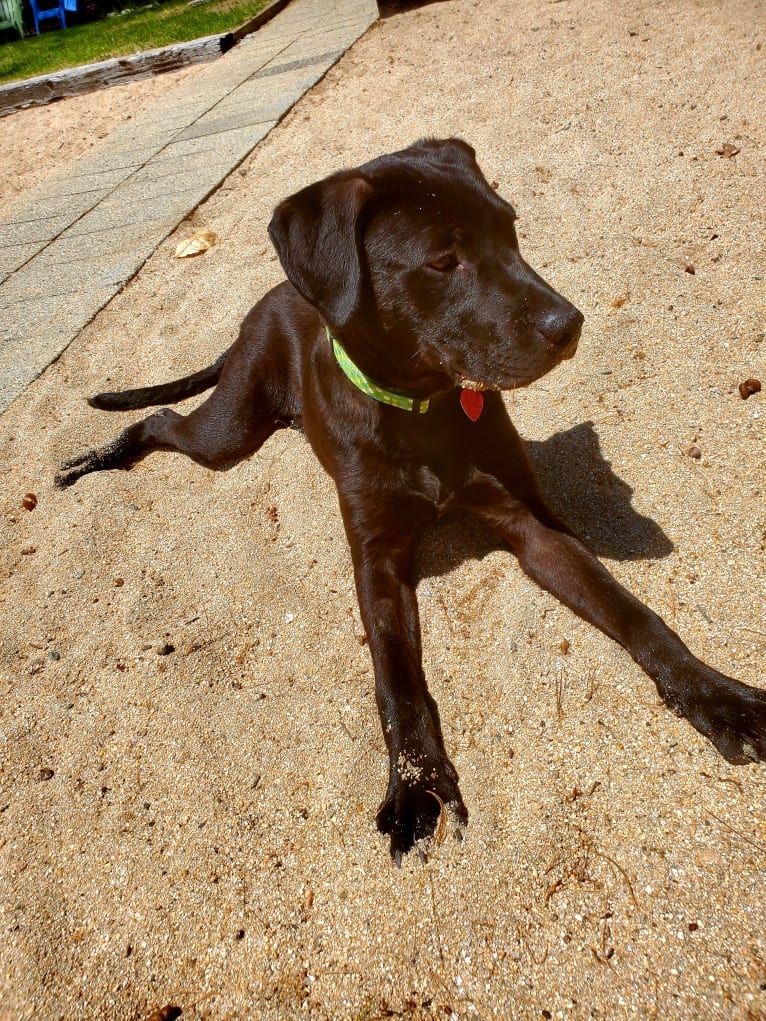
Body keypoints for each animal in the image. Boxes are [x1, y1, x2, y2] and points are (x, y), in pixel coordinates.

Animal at [58, 139, 766, 861]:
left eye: (511, 229)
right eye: (442, 260)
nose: (570, 325)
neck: (422, 411)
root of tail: (269, 299)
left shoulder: (533, 527)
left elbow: (636, 615)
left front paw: (717, 697)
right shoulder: (376, 558)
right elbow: (396, 680)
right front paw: (416, 786)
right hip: (229, 430)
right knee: (162, 420)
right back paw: (97, 456)